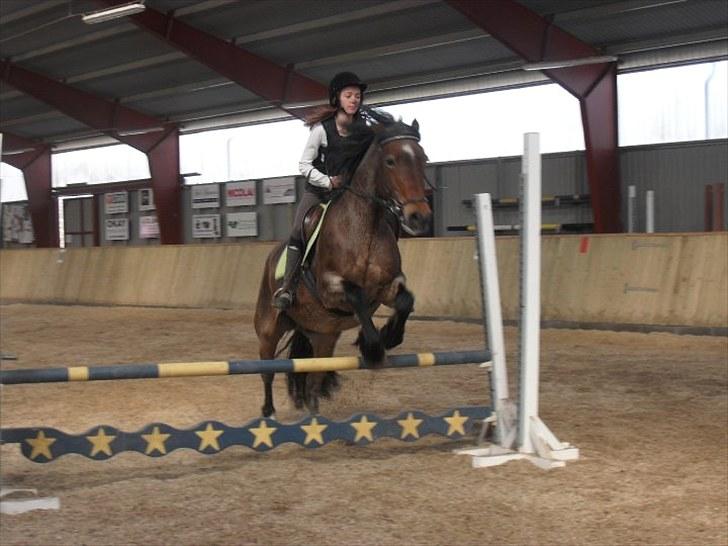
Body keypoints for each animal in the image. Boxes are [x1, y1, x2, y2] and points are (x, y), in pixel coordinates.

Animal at [253, 111, 430, 416]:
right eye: (390, 161)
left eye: (423, 158)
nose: (419, 216)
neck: (364, 228)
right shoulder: (330, 288)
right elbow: (356, 295)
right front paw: (372, 347)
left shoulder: (388, 285)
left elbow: (406, 301)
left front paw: (388, 337)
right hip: (269, 328)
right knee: (267, 371)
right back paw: (269, 412)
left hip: (323, 336)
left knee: (314, 377)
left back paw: (313, 411)